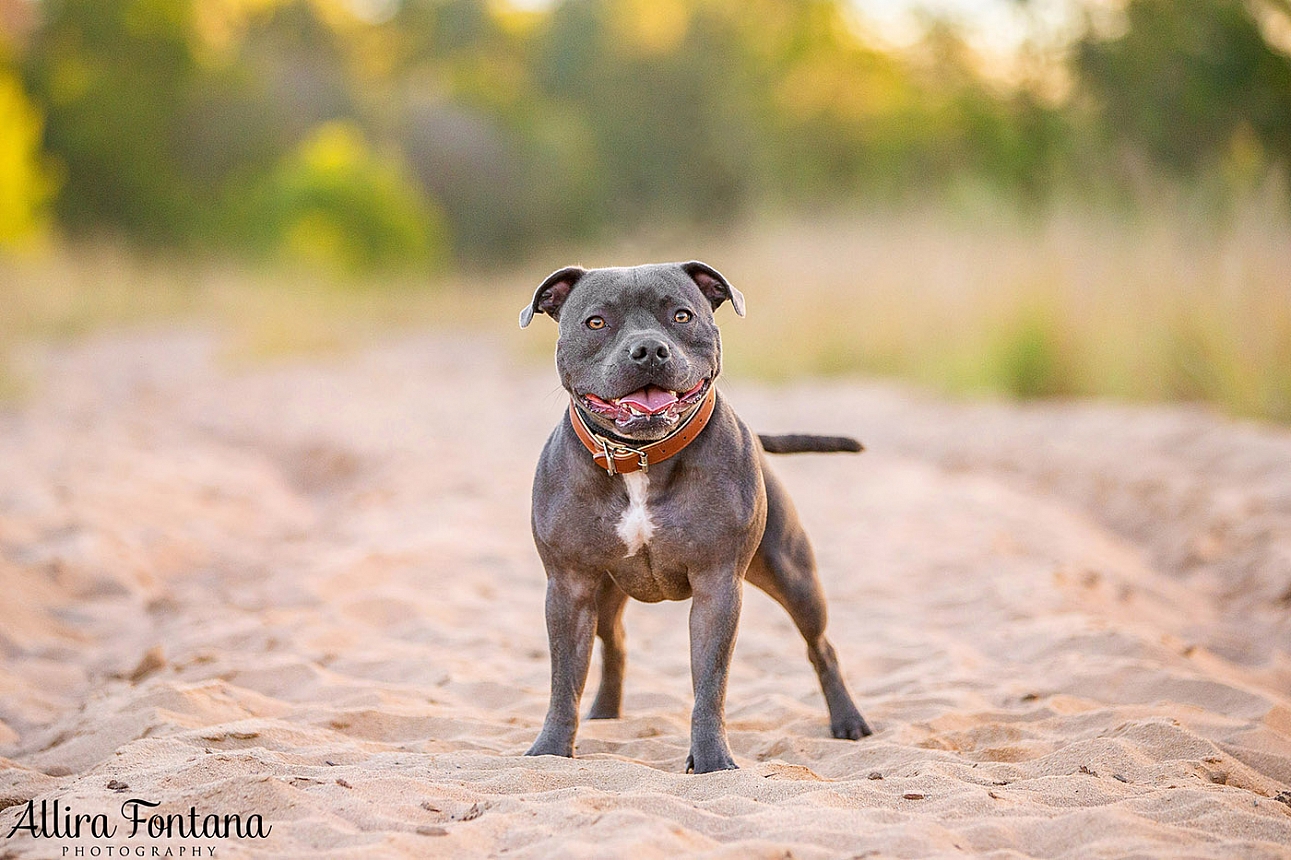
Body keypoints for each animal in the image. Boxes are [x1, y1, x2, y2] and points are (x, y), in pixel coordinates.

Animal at [518, 259, 872, 769]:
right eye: (596, 322)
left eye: (682, 316)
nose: (648, 349)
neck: (639, 458)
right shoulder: (569, 586)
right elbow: (563, 681)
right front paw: (549, 750)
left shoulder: (717, 586)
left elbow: (710, 683)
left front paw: (711, 761)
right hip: (604, 592)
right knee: (614, 641)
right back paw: (605, 712)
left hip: (793, 575)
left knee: (820, 646)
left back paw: (847, 720)